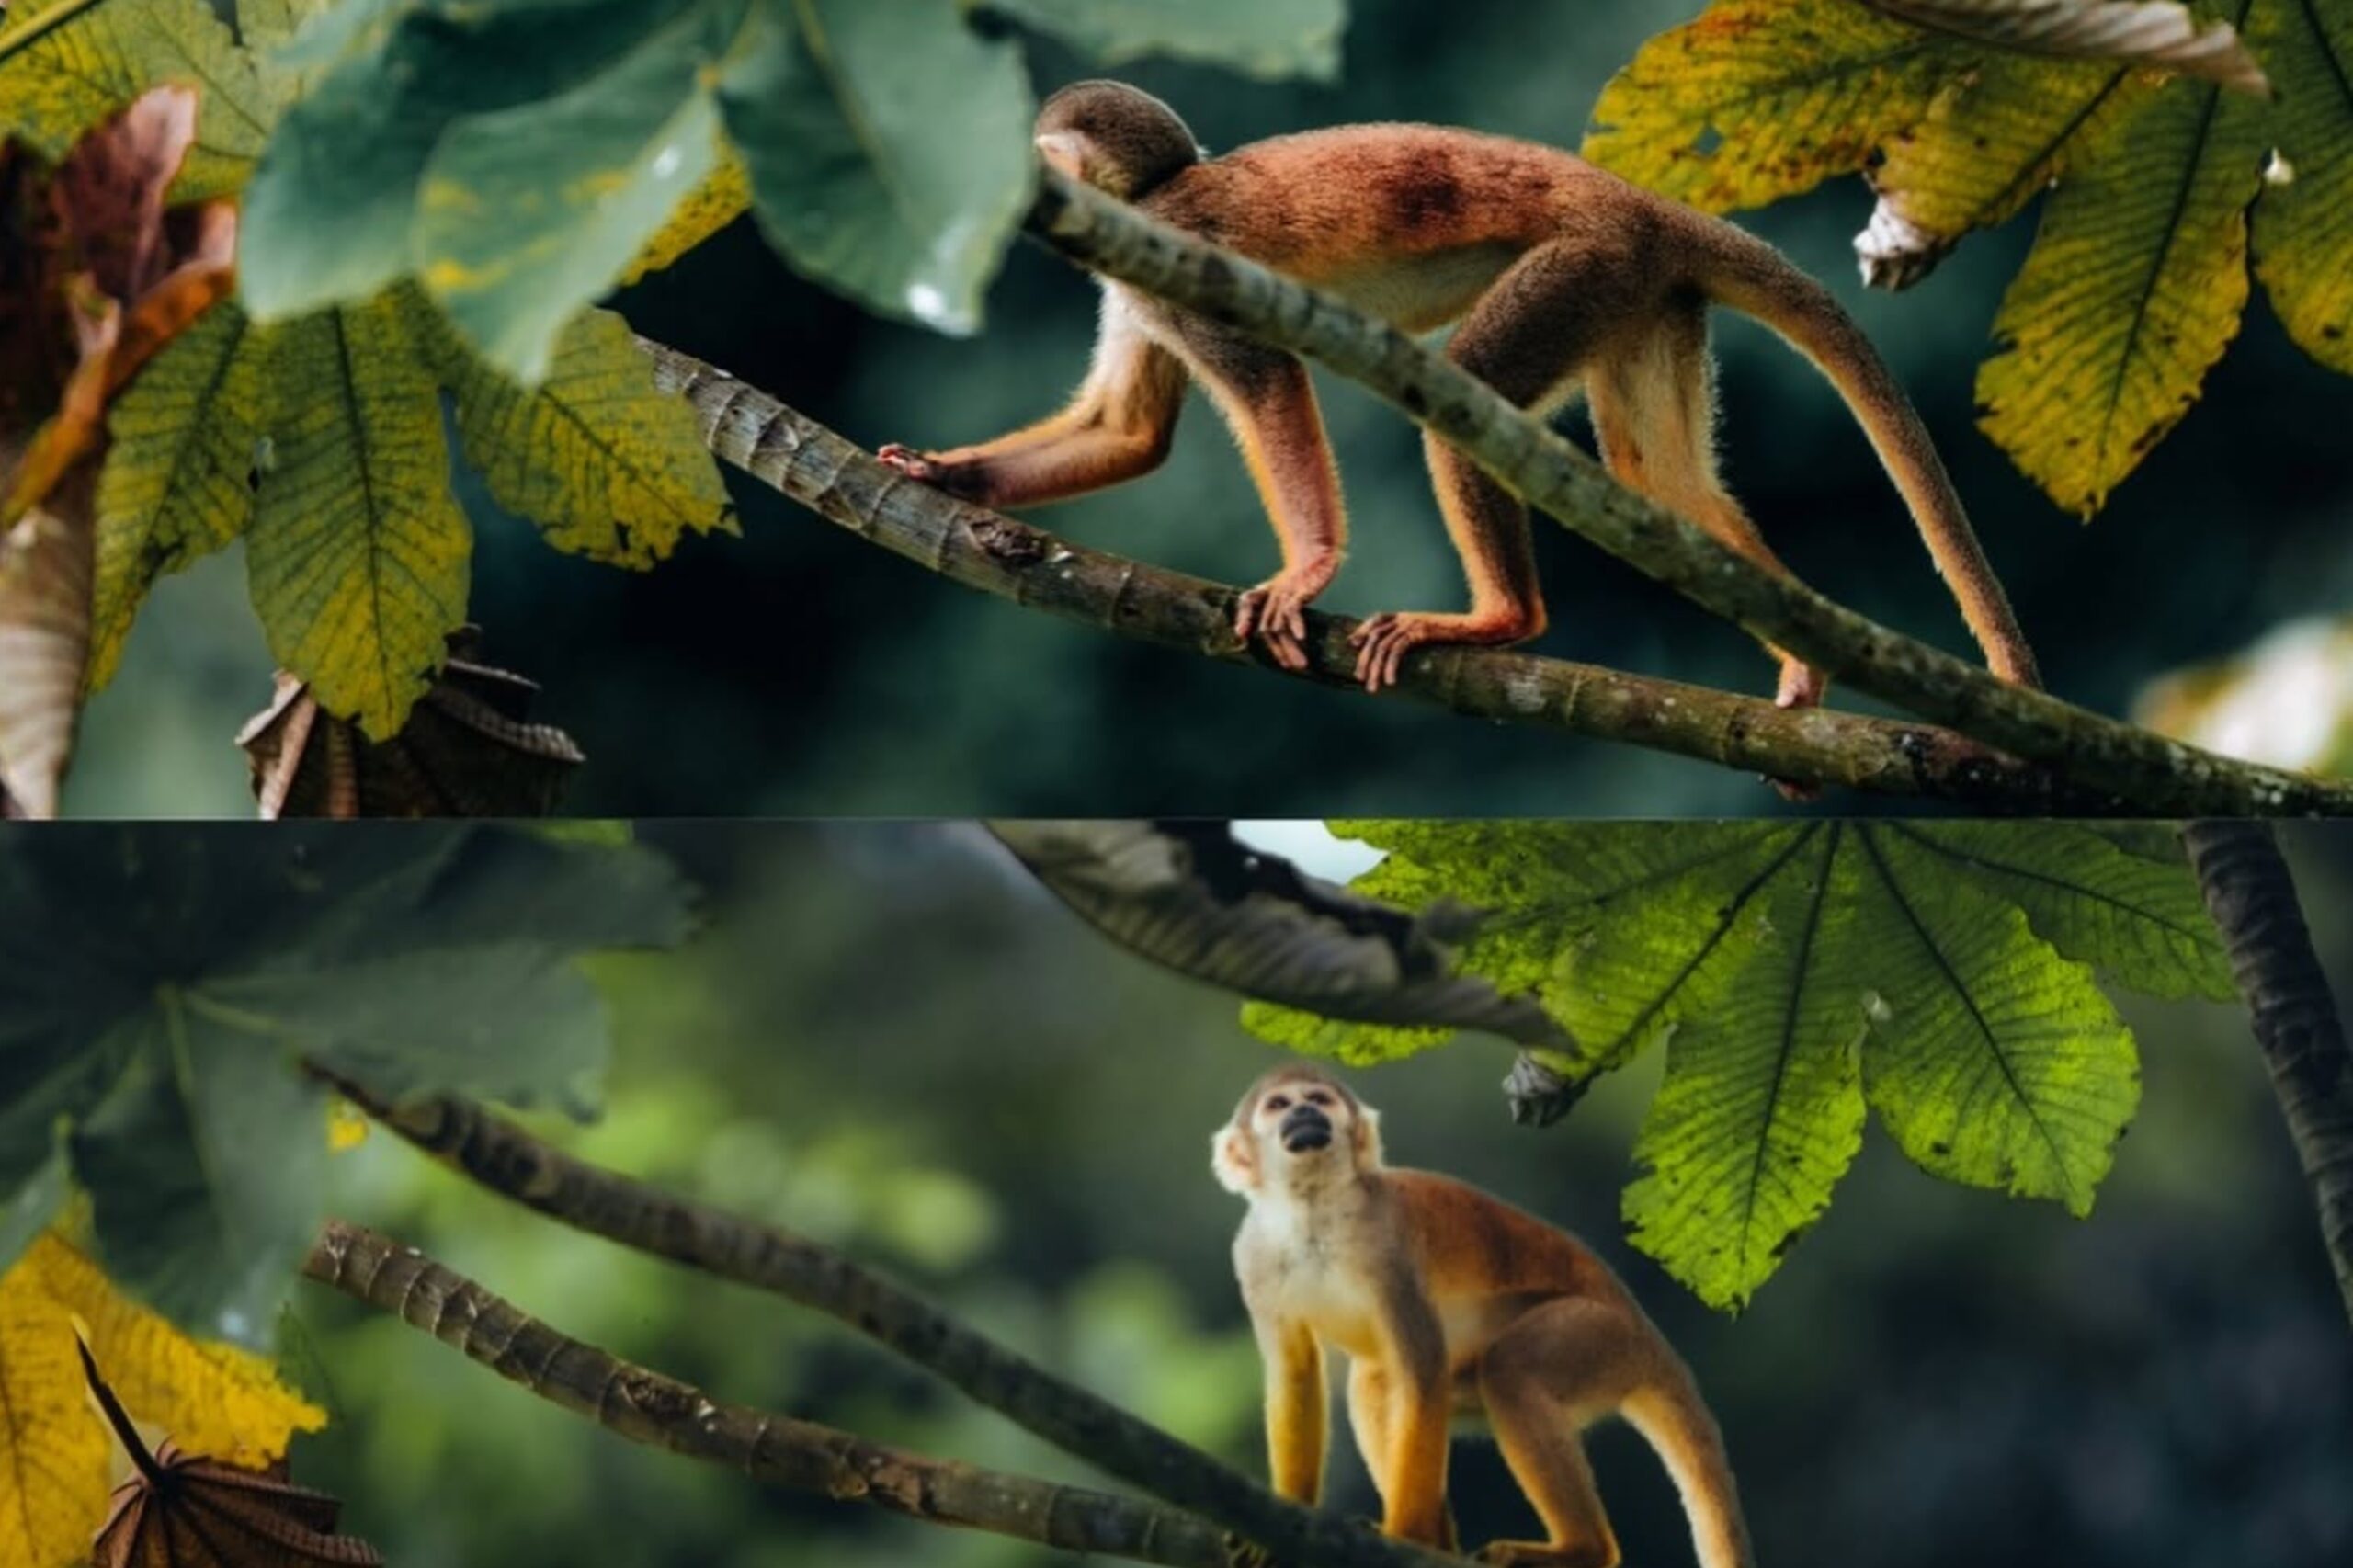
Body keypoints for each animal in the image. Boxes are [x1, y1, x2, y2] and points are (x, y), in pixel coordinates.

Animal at [879, 81, 2039, 706]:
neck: (1151, 198)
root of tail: (1647, 205)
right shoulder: (1133, 287)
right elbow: (1130, 432)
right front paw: (945, 474)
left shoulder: (1175, 265)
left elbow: (1268, 379)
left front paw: (1307, 570)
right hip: (1640, 293)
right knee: (1654, 478)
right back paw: (1796, 649)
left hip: (1582, 263)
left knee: (1468, 404)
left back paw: (1502, 620)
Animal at [1210, 1065, 1750, 1568]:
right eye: (1279, 1105)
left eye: (1319, 1099)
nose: (1305, 1113)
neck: (1312, 1212)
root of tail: (1647, 1335)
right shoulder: (1250, 1255)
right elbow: (1297, 1373)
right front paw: (1280, 1524)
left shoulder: (1390, 1246)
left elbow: (1421, 1369)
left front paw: (1405, 1535)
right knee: (1374, 1385)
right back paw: (1447, 1544)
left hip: (1602, 1336)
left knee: (1509, 1369)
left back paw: (1581, 1549)